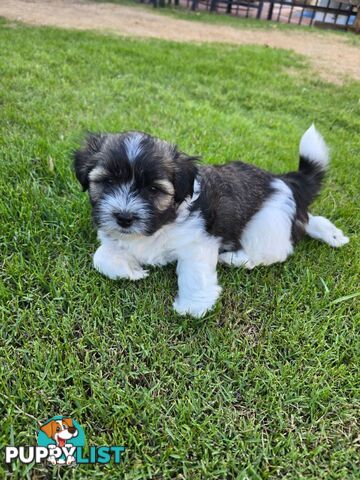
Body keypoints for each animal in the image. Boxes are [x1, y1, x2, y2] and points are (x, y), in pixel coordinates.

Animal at [74, 125, 348, 316]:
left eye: (153, 189)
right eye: (108, 181)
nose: (124, 218)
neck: (160, 224)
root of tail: (283, 180)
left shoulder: (197, 241)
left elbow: (194, 273)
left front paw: (193, 306)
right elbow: (100, 256)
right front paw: (130, 271)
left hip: (265, 223)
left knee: (275, 251)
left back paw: (234, 259)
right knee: (307, 220)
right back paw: (333, 235)